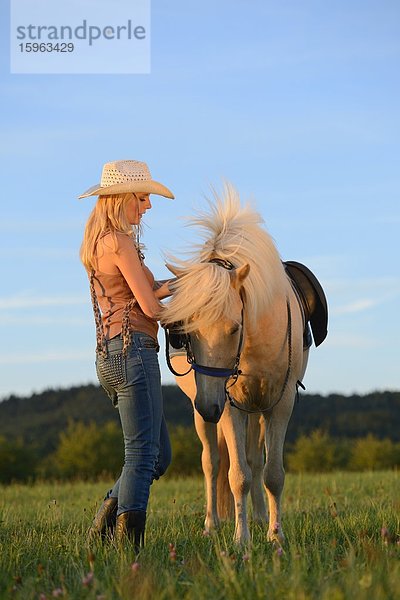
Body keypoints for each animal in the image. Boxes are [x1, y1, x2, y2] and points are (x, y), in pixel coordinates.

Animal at [161, 190, 326, 548]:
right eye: (186, 332)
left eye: (234, 328)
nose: (209, 405)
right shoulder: (229, 406)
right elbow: (237, 476)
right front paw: (241, 540)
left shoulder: (280, 403)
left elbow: (272, 473)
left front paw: (275, 536)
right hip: (208, 414)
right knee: (212, 463)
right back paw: (212, 523)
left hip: (255, 410)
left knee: (255, 460)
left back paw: (262, 517)